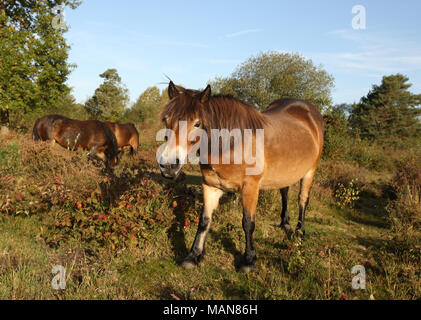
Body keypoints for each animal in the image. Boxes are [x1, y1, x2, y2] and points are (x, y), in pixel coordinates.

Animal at [158, 82, 324, 272]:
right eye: (166, 119)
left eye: (197, 123)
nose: (169, 166)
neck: (232, 146)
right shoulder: (210, 186)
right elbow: (204, 221)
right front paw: (193, 256)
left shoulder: (250, 188)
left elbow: (248, 223)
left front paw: (249, 260)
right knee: (284, 191)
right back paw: (285, 223)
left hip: (310, 170)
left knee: (303, 199)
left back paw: (299, 233)